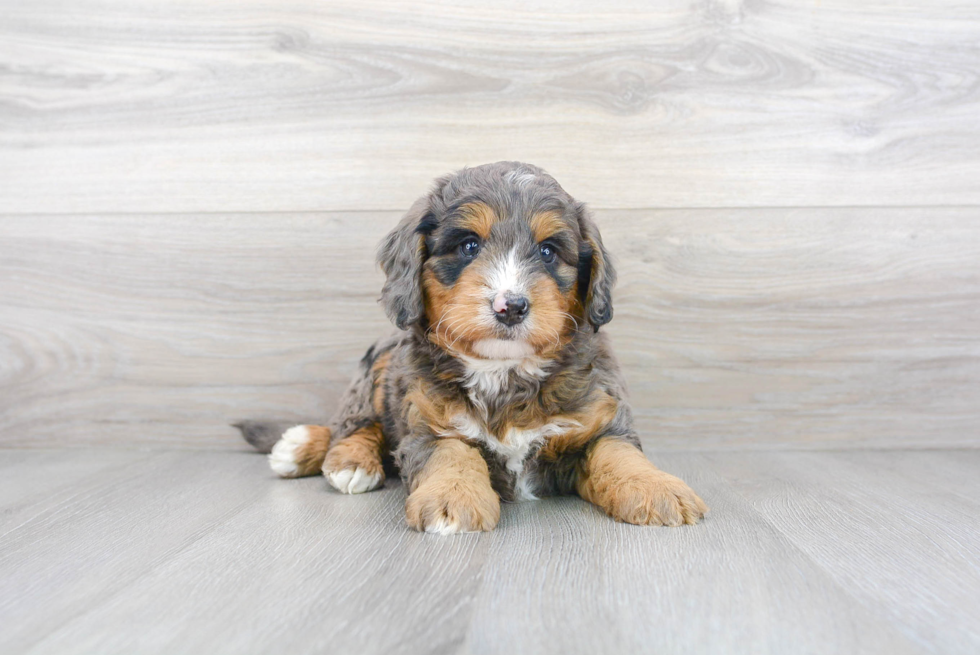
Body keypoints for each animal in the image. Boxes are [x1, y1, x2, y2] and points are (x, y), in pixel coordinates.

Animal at [241, 161, 708, 536]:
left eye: (548, 251)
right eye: (469, 246)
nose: (511, 306)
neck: (504, 372)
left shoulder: (600, 419)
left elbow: (620, 453)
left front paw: (657, 488)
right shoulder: (427, 424)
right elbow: (452, 453)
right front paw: (452, 500)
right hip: (380, 363)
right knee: (354, 423)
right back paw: (328, 455)